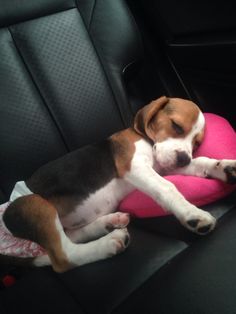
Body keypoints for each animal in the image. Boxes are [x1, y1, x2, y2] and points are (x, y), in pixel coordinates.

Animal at [1, 96, 236, 272]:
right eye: (176, 126)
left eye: (196, 143)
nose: (184, 159)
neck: (148, 140)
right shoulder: (135, 167)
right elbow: (167, 187)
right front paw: (192, 214)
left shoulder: (166, 167)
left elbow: (204, 162)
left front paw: (225, 167)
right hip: (32, 203)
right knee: (64, 257)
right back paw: (108, 244)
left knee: (70, 237)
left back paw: (109, 222)